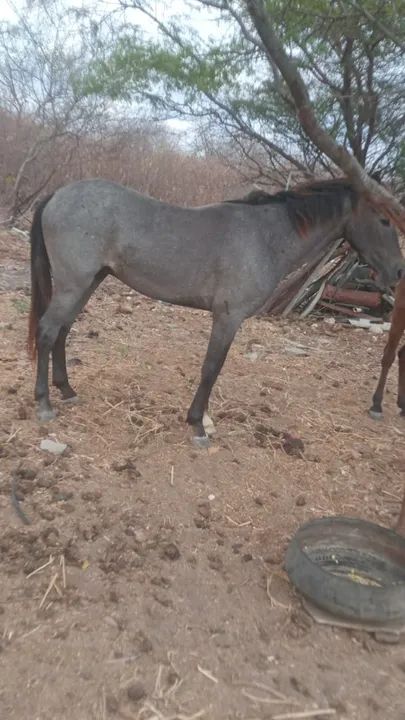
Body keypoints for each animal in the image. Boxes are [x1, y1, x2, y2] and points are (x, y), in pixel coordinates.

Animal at [28, 176, 404, 446]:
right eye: (384, 220)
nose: (398, 272)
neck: (265, 237)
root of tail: (57, 194)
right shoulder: (227, 317)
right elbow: (212, 368)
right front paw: (198, 425)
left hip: (89, 282)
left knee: (63, 330)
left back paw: (67, 391)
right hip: (74, 283)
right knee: (48, 330)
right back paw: (44, 404)